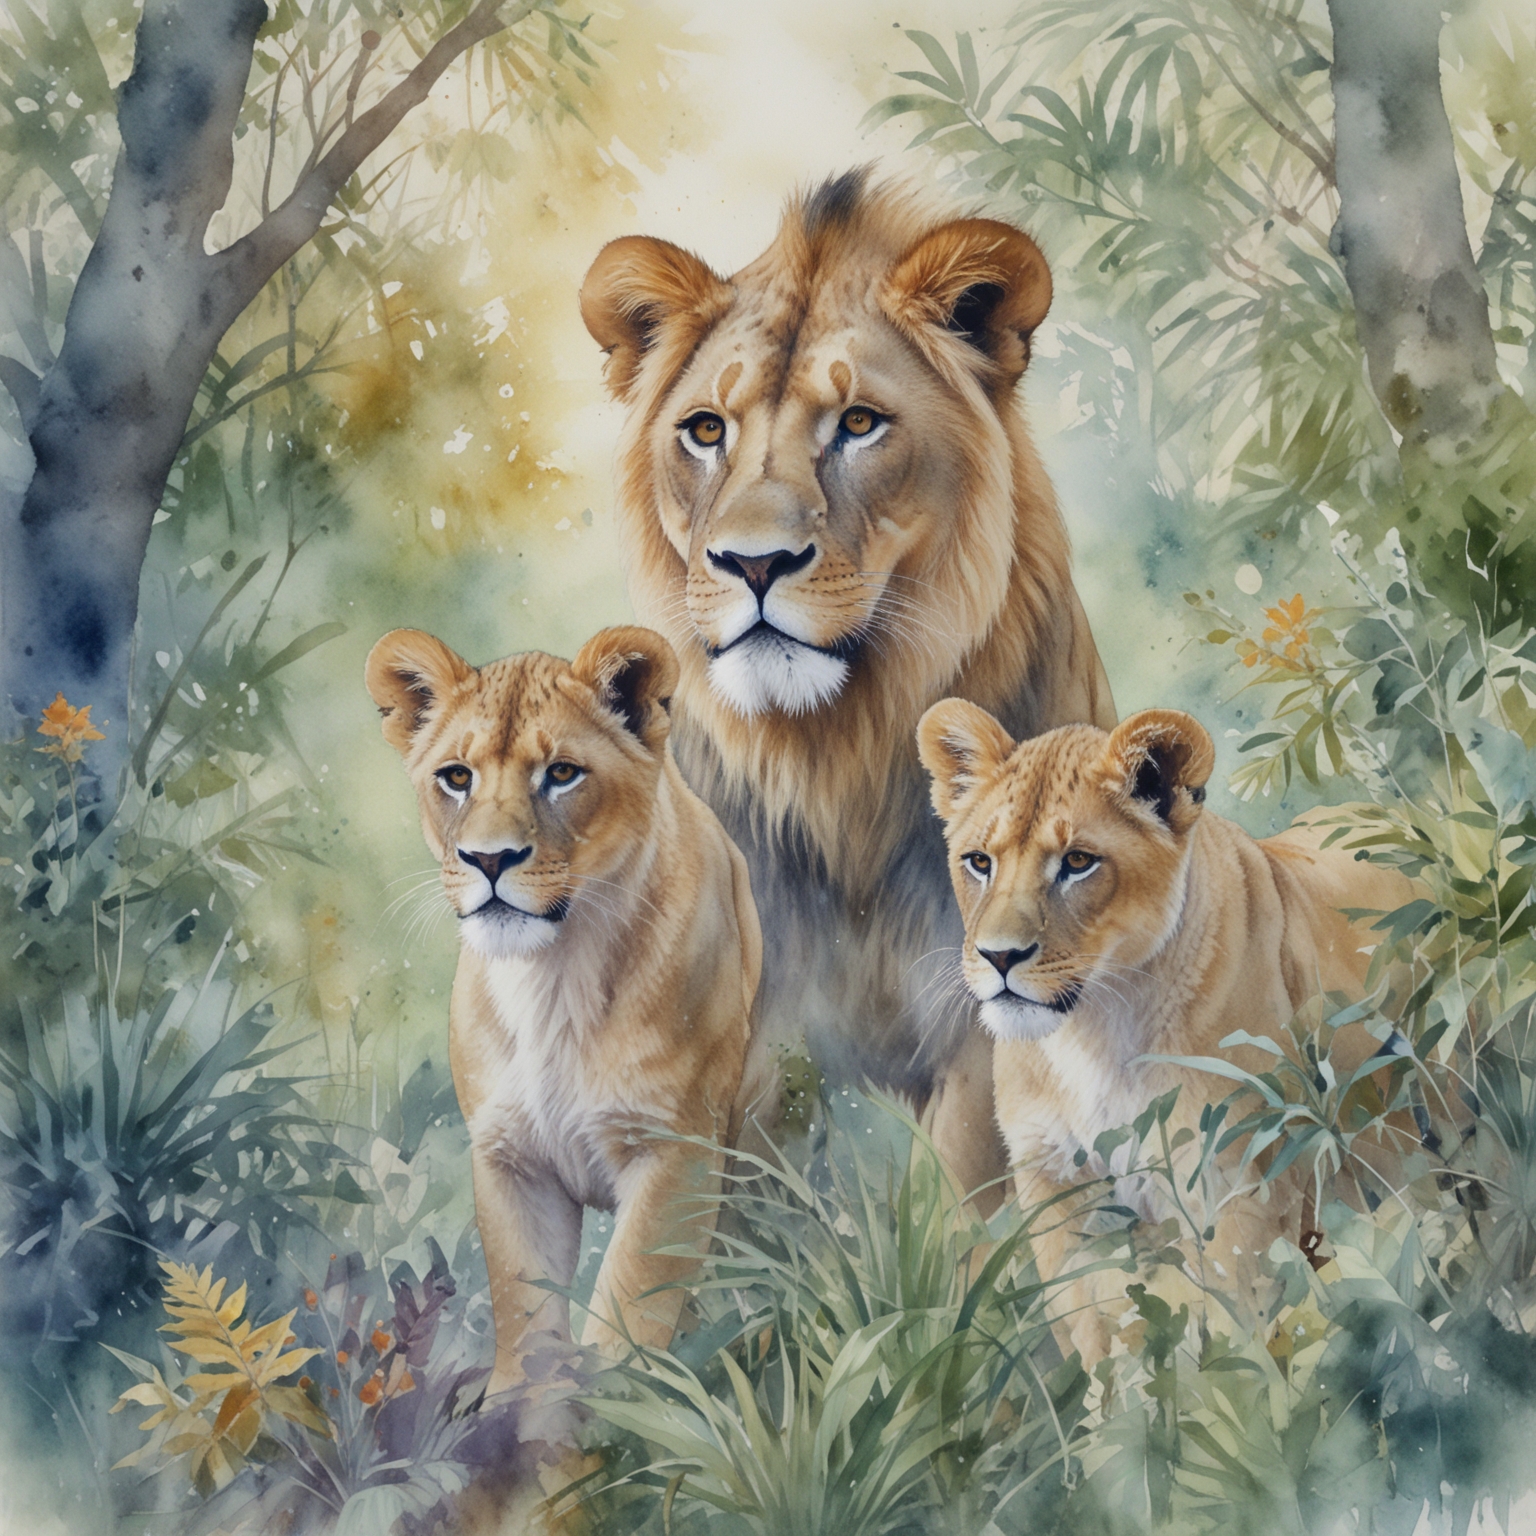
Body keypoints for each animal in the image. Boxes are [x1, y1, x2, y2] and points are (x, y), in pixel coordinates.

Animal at [365, 624, 768, 1395]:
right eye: (456, 777)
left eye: (561, 774)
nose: (489, 859)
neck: (555, 978)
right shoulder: (510, 1159)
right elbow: (524, 1311)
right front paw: (521, 1413)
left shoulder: (677, 1153)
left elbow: (629, 1312)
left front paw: (617, 1411)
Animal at [579, 169, 1115, 1201]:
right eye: (705, 430)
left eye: (859, 423)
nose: (754, 563)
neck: (835, 760)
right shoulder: (740, 1035)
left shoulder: (984, 1021)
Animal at [917, 700, 1418, 1362]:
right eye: (980, 862)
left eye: (1077, 862)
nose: (1000, 956)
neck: (1093, 1032)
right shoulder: (1057, 1188)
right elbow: (1097, 1335)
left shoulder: (1236, 1179)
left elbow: (1236, 1326)